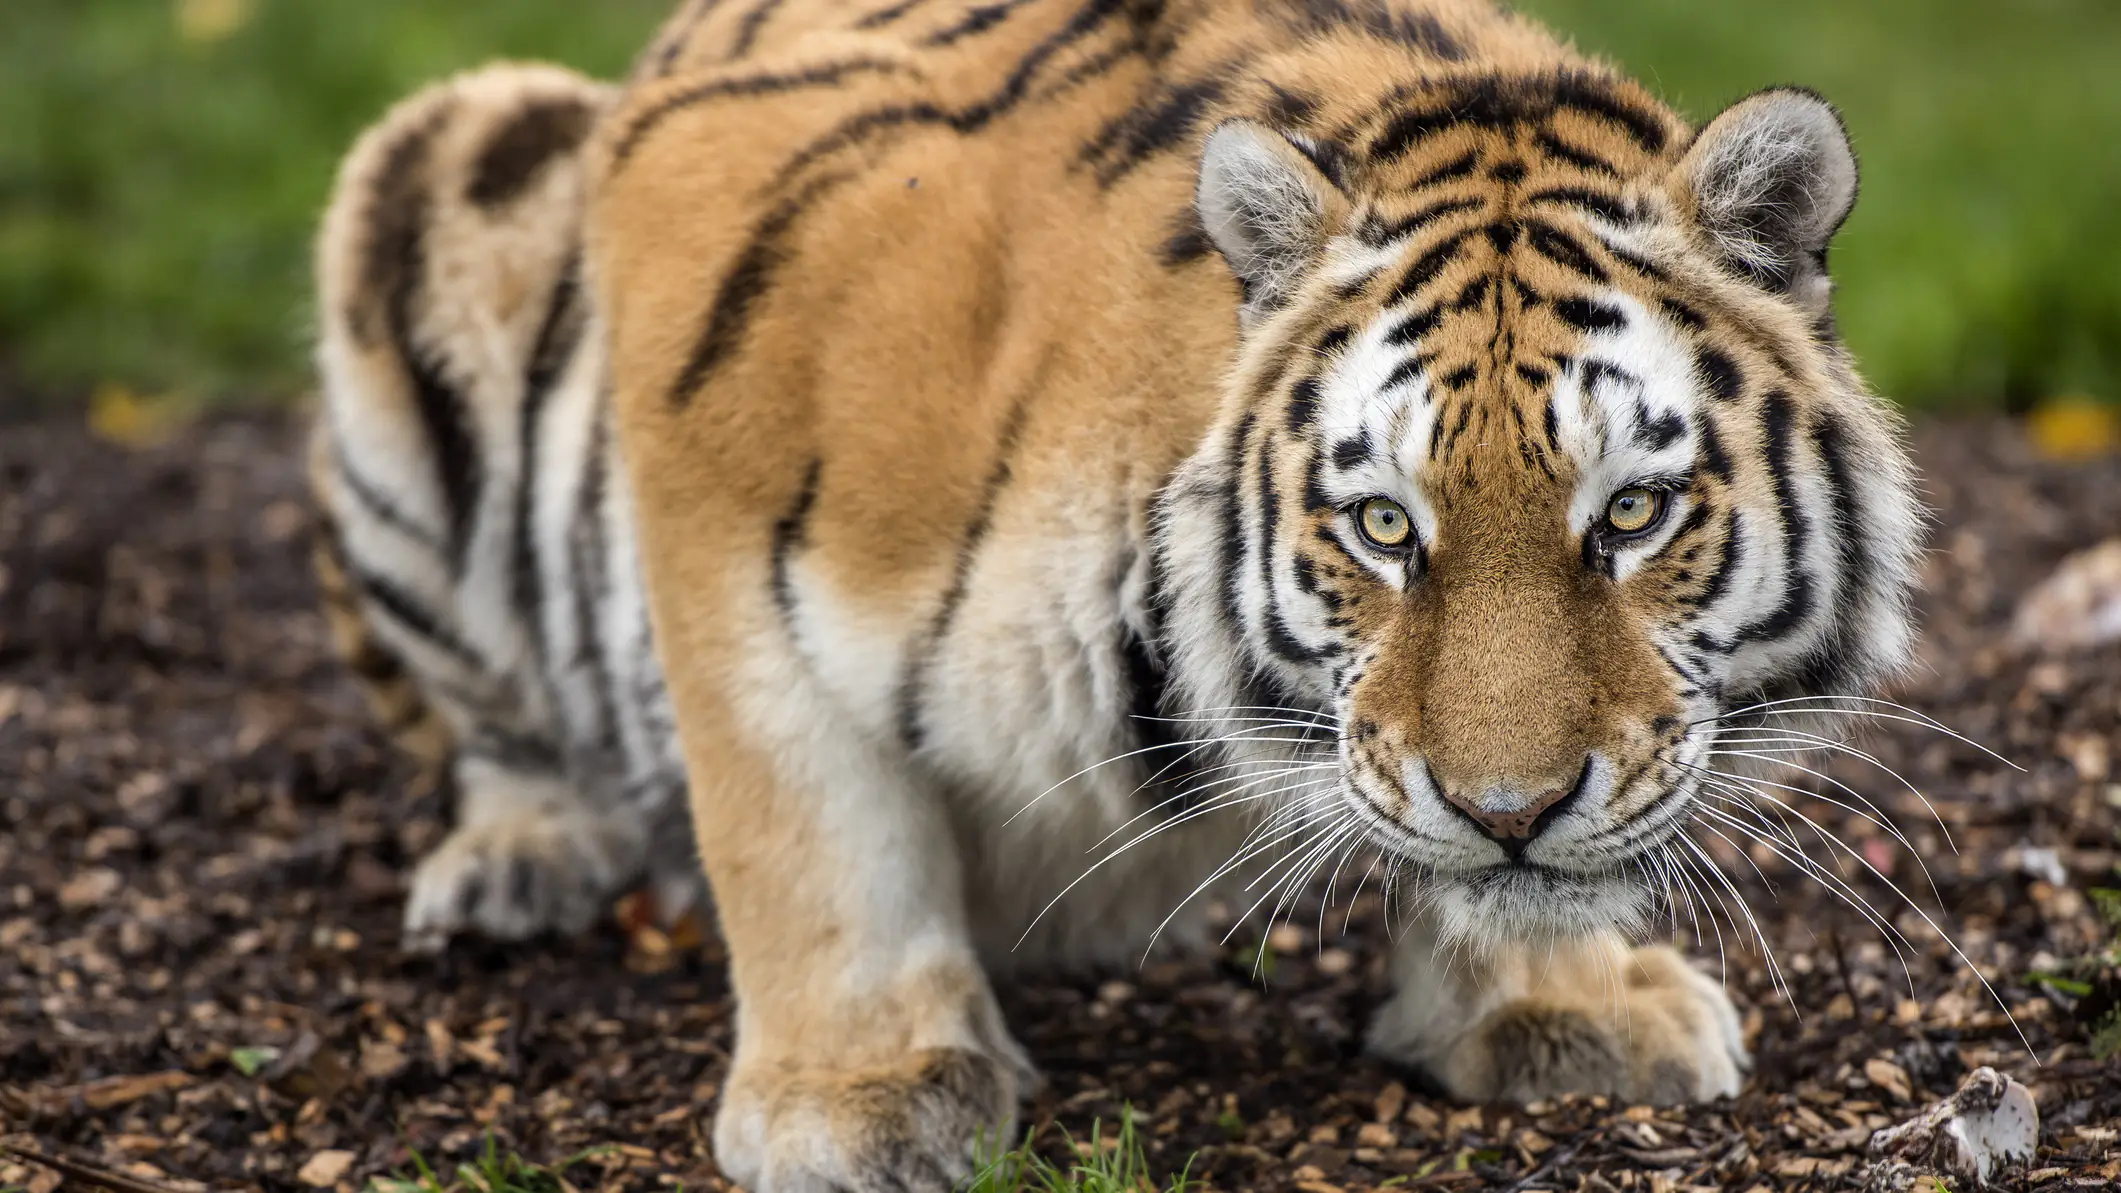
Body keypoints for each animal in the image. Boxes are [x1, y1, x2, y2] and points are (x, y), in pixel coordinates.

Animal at [308, 0, 1924, 1186]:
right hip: (453, 160)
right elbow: (803, 814)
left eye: (1633, 513)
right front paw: (860, 1092)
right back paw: (524, 855)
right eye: (1385, 527)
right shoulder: (713, 417)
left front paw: (1561, 999)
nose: (1512, 811)